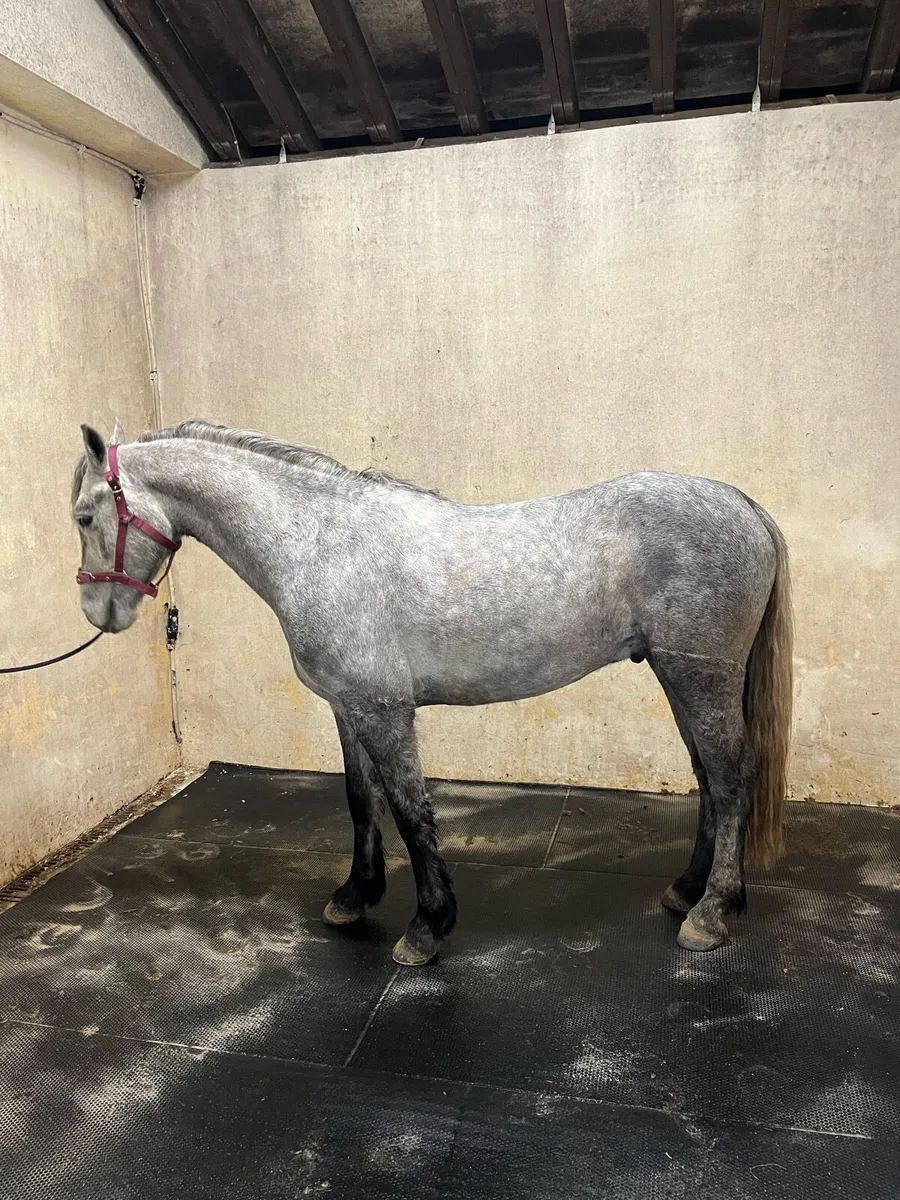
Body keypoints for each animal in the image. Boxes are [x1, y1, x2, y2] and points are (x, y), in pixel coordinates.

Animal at [72, 420, 793, 966]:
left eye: (84, 515)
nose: (99, 612)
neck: (322, 545)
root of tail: (743, 504)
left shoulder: (385, 712)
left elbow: (411, 811)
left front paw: (427, 927)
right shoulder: (349, 707)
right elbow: (361, 802)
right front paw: (354, 896)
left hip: (699, 676)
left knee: (732, 778)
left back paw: (712, 912)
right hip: (679, 678)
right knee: (708, 778)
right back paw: (686, 889)